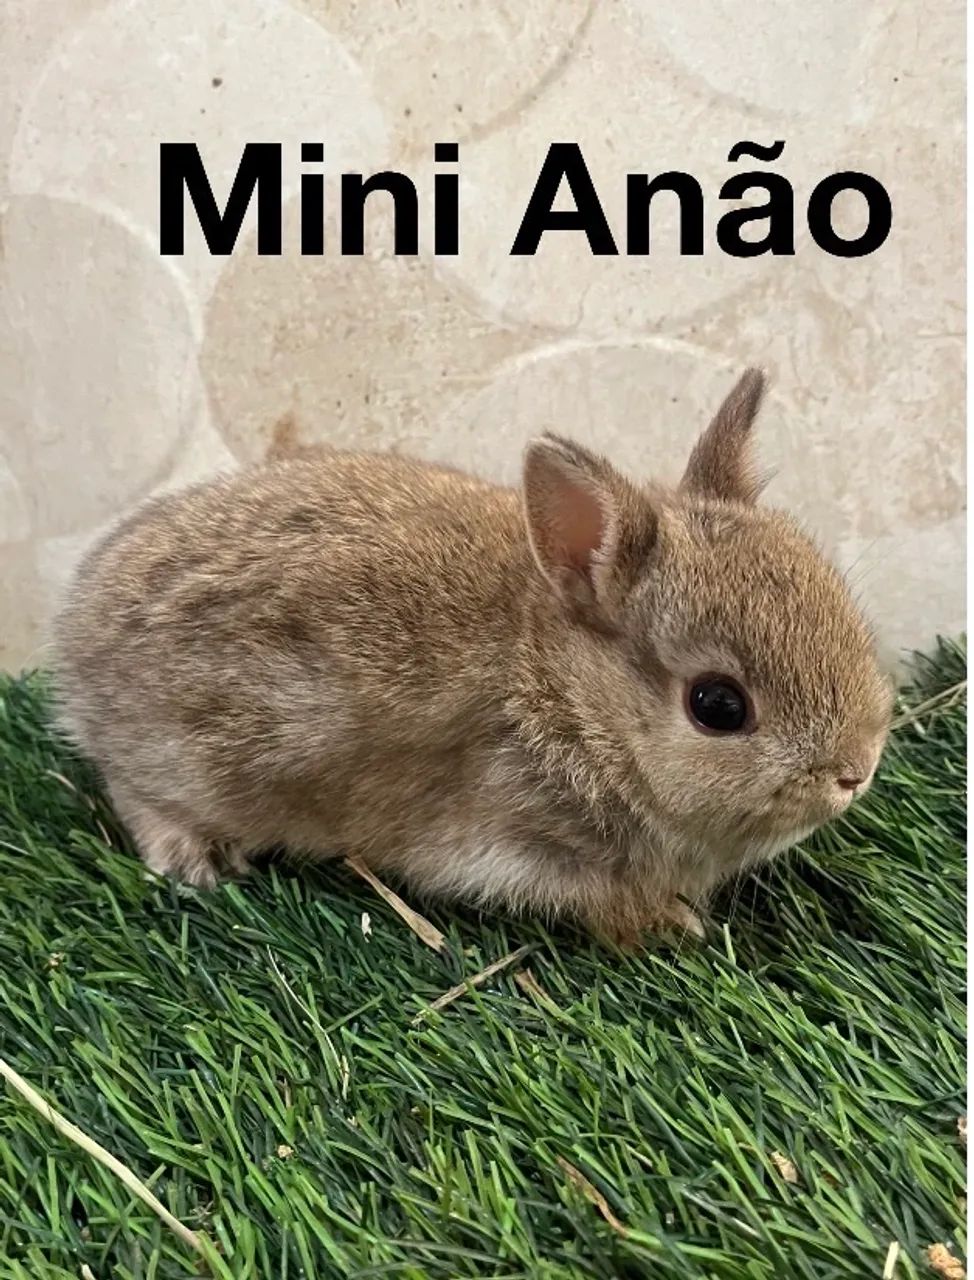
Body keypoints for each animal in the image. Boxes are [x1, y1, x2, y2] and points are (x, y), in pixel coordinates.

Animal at [53, 369, 893, 946]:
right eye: (718, 706)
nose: (855, 772)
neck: (570, 700)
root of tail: (77, 631)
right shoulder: (509, 839)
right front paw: (674, 925)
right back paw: (194, 860)